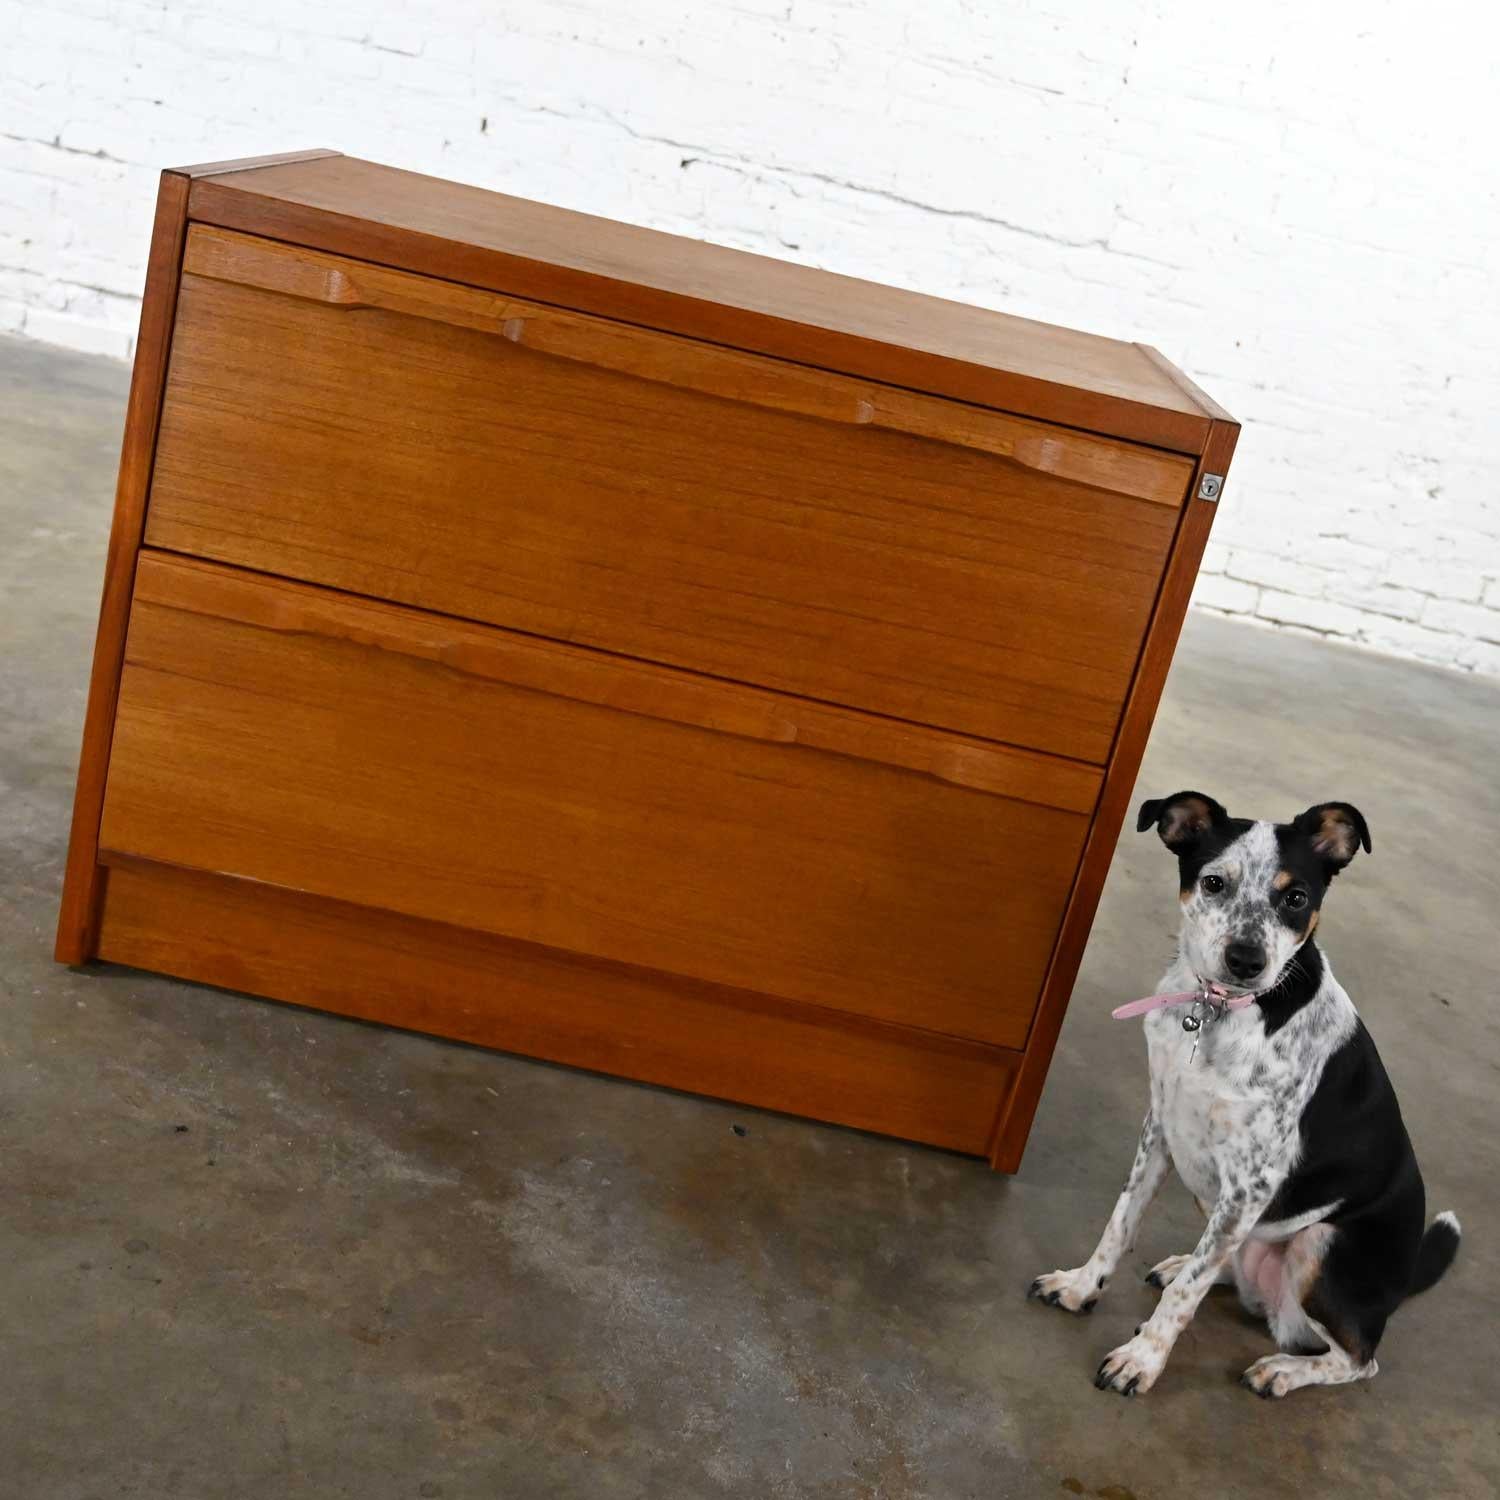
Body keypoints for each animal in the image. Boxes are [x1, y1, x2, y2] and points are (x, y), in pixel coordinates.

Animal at [1026, 792, 1458, 1398]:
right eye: (1214, 883)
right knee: (1220, 1264)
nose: (1247, 961)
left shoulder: (1252, 1185)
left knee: (1358, 1358)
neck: (1216, 1012)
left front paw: (1142, 1359)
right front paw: (1082, 1285)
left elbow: (1185, 1294)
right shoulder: (1162, 1128)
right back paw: (1187, 1264)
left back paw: (1283, 1369)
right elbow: (1122, 1222)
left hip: (1318, 1241)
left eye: (1296, 897)